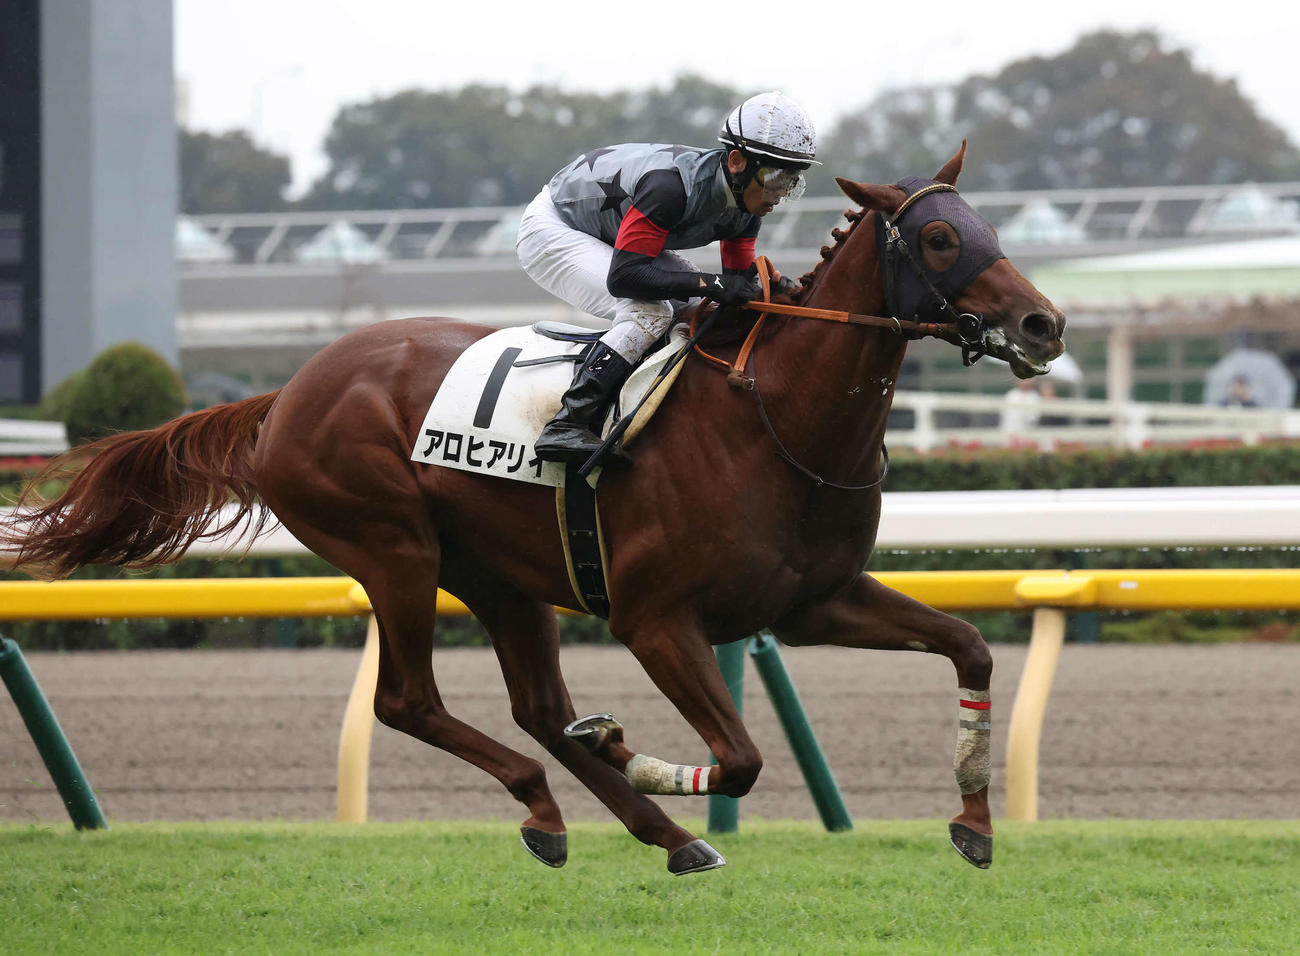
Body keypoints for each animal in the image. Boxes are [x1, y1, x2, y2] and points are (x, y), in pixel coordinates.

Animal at [2, 145, 1064, 874]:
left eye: (988, 228)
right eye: (939, 237)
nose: (1043, 323)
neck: (773, 420)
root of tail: (289, 390)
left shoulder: (813, 602)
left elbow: (970, 648)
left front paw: (973, 822)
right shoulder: (654, 619)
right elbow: (742, 758)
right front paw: (633, 749)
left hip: (500, 576)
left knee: (540, 710)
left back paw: (653, 832)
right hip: (393, 549)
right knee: (410, 701)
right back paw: (566, 804)